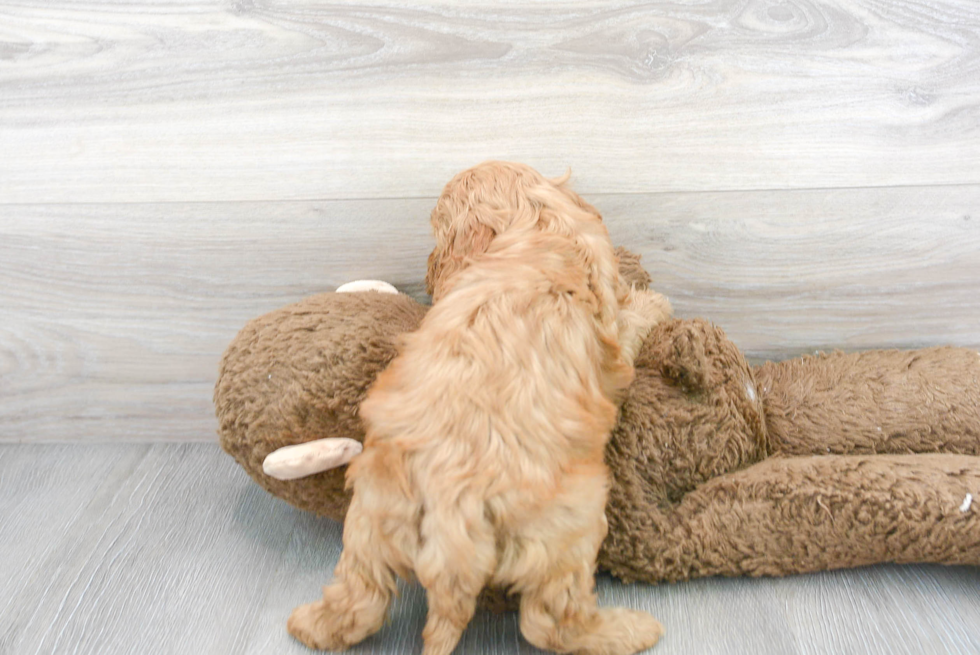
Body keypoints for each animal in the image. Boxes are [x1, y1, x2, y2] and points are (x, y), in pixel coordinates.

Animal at [288, 161, 668, 652]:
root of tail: (451, 511)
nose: (429, 268)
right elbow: (632, 319)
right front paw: (652, 300)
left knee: (359, 600)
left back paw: (308, 624)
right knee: (551, 621)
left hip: (370, 516)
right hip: (570, 519)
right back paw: (630, 630)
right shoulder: (613, 337)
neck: (531, 225)